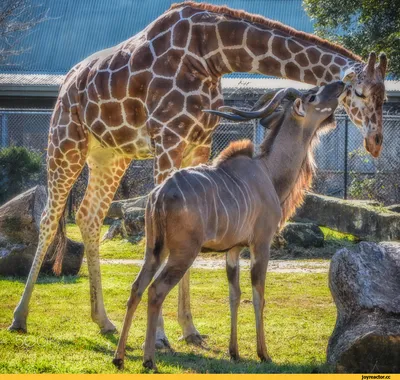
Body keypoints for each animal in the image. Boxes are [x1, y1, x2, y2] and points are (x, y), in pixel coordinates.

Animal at [111, 81, 344, 372]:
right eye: (313, 96)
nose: (340, 84)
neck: (268, 173)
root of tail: (159, 194)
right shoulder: (261, 244)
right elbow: (258, 295)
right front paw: (263, 353)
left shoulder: (233, 250)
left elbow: (234, 295)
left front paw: (234, 352)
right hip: (182, 254)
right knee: (156, 291)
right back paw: (149, 359)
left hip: (154, 250)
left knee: (136, 288)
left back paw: (119, 357)